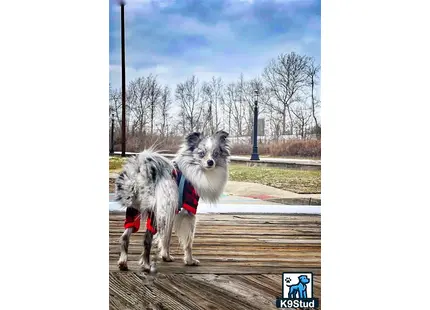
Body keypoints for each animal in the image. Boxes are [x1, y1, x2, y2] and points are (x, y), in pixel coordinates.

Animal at [112, 130, 230, 272]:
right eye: (201, 153)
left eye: (216, 154)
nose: (210, 162)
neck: (193, 167)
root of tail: (140, 172)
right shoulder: (189, 210)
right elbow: (188, 240)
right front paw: (190, 260)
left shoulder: (170, 211)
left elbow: (166, 236)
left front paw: (166, 256)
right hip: (154, 212)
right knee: (147, 239)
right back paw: (146, 265)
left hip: (134, 209)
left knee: (125, 236)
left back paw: (123, 262)